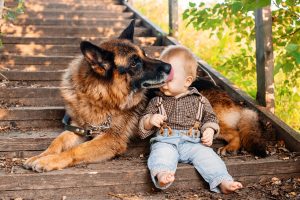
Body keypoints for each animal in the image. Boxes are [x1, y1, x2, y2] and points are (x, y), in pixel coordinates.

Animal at [24, 21, 264, 172]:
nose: (169, 67)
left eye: (144, 54)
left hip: (210, 118)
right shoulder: (79, 128)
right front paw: (40, 156)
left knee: (234, 131)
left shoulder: (110, 140)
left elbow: (75, 151)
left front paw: (49, 161)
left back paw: (231, 146)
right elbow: (56, 142)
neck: (98, 95)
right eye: (135, 63)